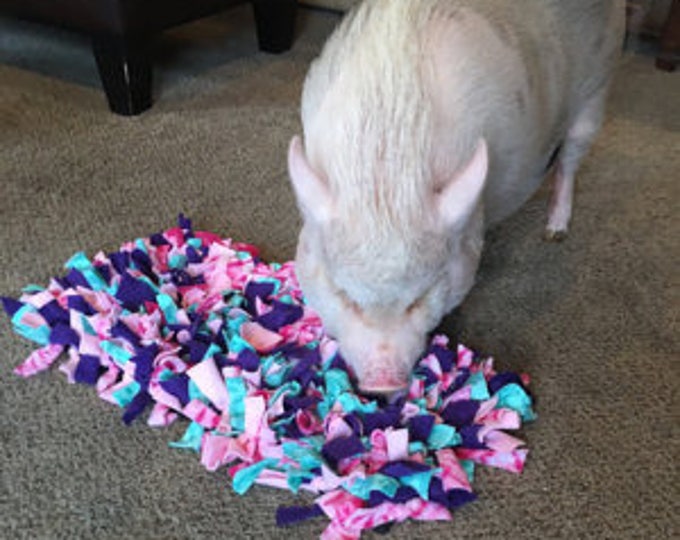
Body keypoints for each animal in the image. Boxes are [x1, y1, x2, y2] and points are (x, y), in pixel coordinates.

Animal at [287, 0, 625, 393]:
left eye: (420, 297)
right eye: (343, 294)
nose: (382, 383)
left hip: (598, 83)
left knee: (570, 158)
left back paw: (555, 231)